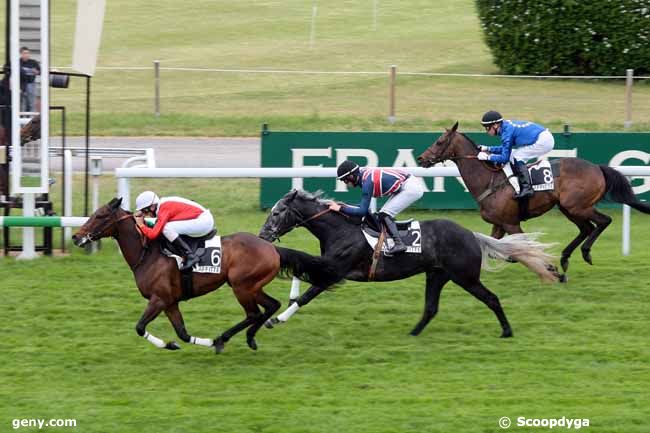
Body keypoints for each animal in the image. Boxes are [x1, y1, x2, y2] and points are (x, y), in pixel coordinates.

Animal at [73, 197, 340, 352]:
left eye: (100, 216)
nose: (76, 237)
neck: (147, 254)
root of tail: (272, 247)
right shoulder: (170, 302)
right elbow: (182, 333)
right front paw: (174, 344)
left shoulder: (159, 299)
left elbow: (139, 327)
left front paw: (201, 342)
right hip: (252, 286)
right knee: (270, 306)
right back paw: (248, 338)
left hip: (241, 286)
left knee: (254, 313)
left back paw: (222, 339)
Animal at [258, 189, 556, 338]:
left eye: (277, 212)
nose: (263, 236)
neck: (341, 229)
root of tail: (471, 234)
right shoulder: (328, 266)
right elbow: (300, 271)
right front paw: (288, 299)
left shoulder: (335, 271)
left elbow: (306, 294)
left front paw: (276, 319)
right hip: (437, 275)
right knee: (431, 308)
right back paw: (412, 333)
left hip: (465, 276)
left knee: (491, 298)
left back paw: (506, 331)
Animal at [416, 121, 648, 276]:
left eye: (439, 142)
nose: (420, 159)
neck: (489, 180)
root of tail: (597, 168)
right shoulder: (499, 224)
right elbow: (494, 250)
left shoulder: (511, 223)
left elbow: (524, 246)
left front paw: (548, 267)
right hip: (568, 207)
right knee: (586, 228)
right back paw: (565, 257)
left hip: (577, 206)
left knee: (603, 221)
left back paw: (584, 252)